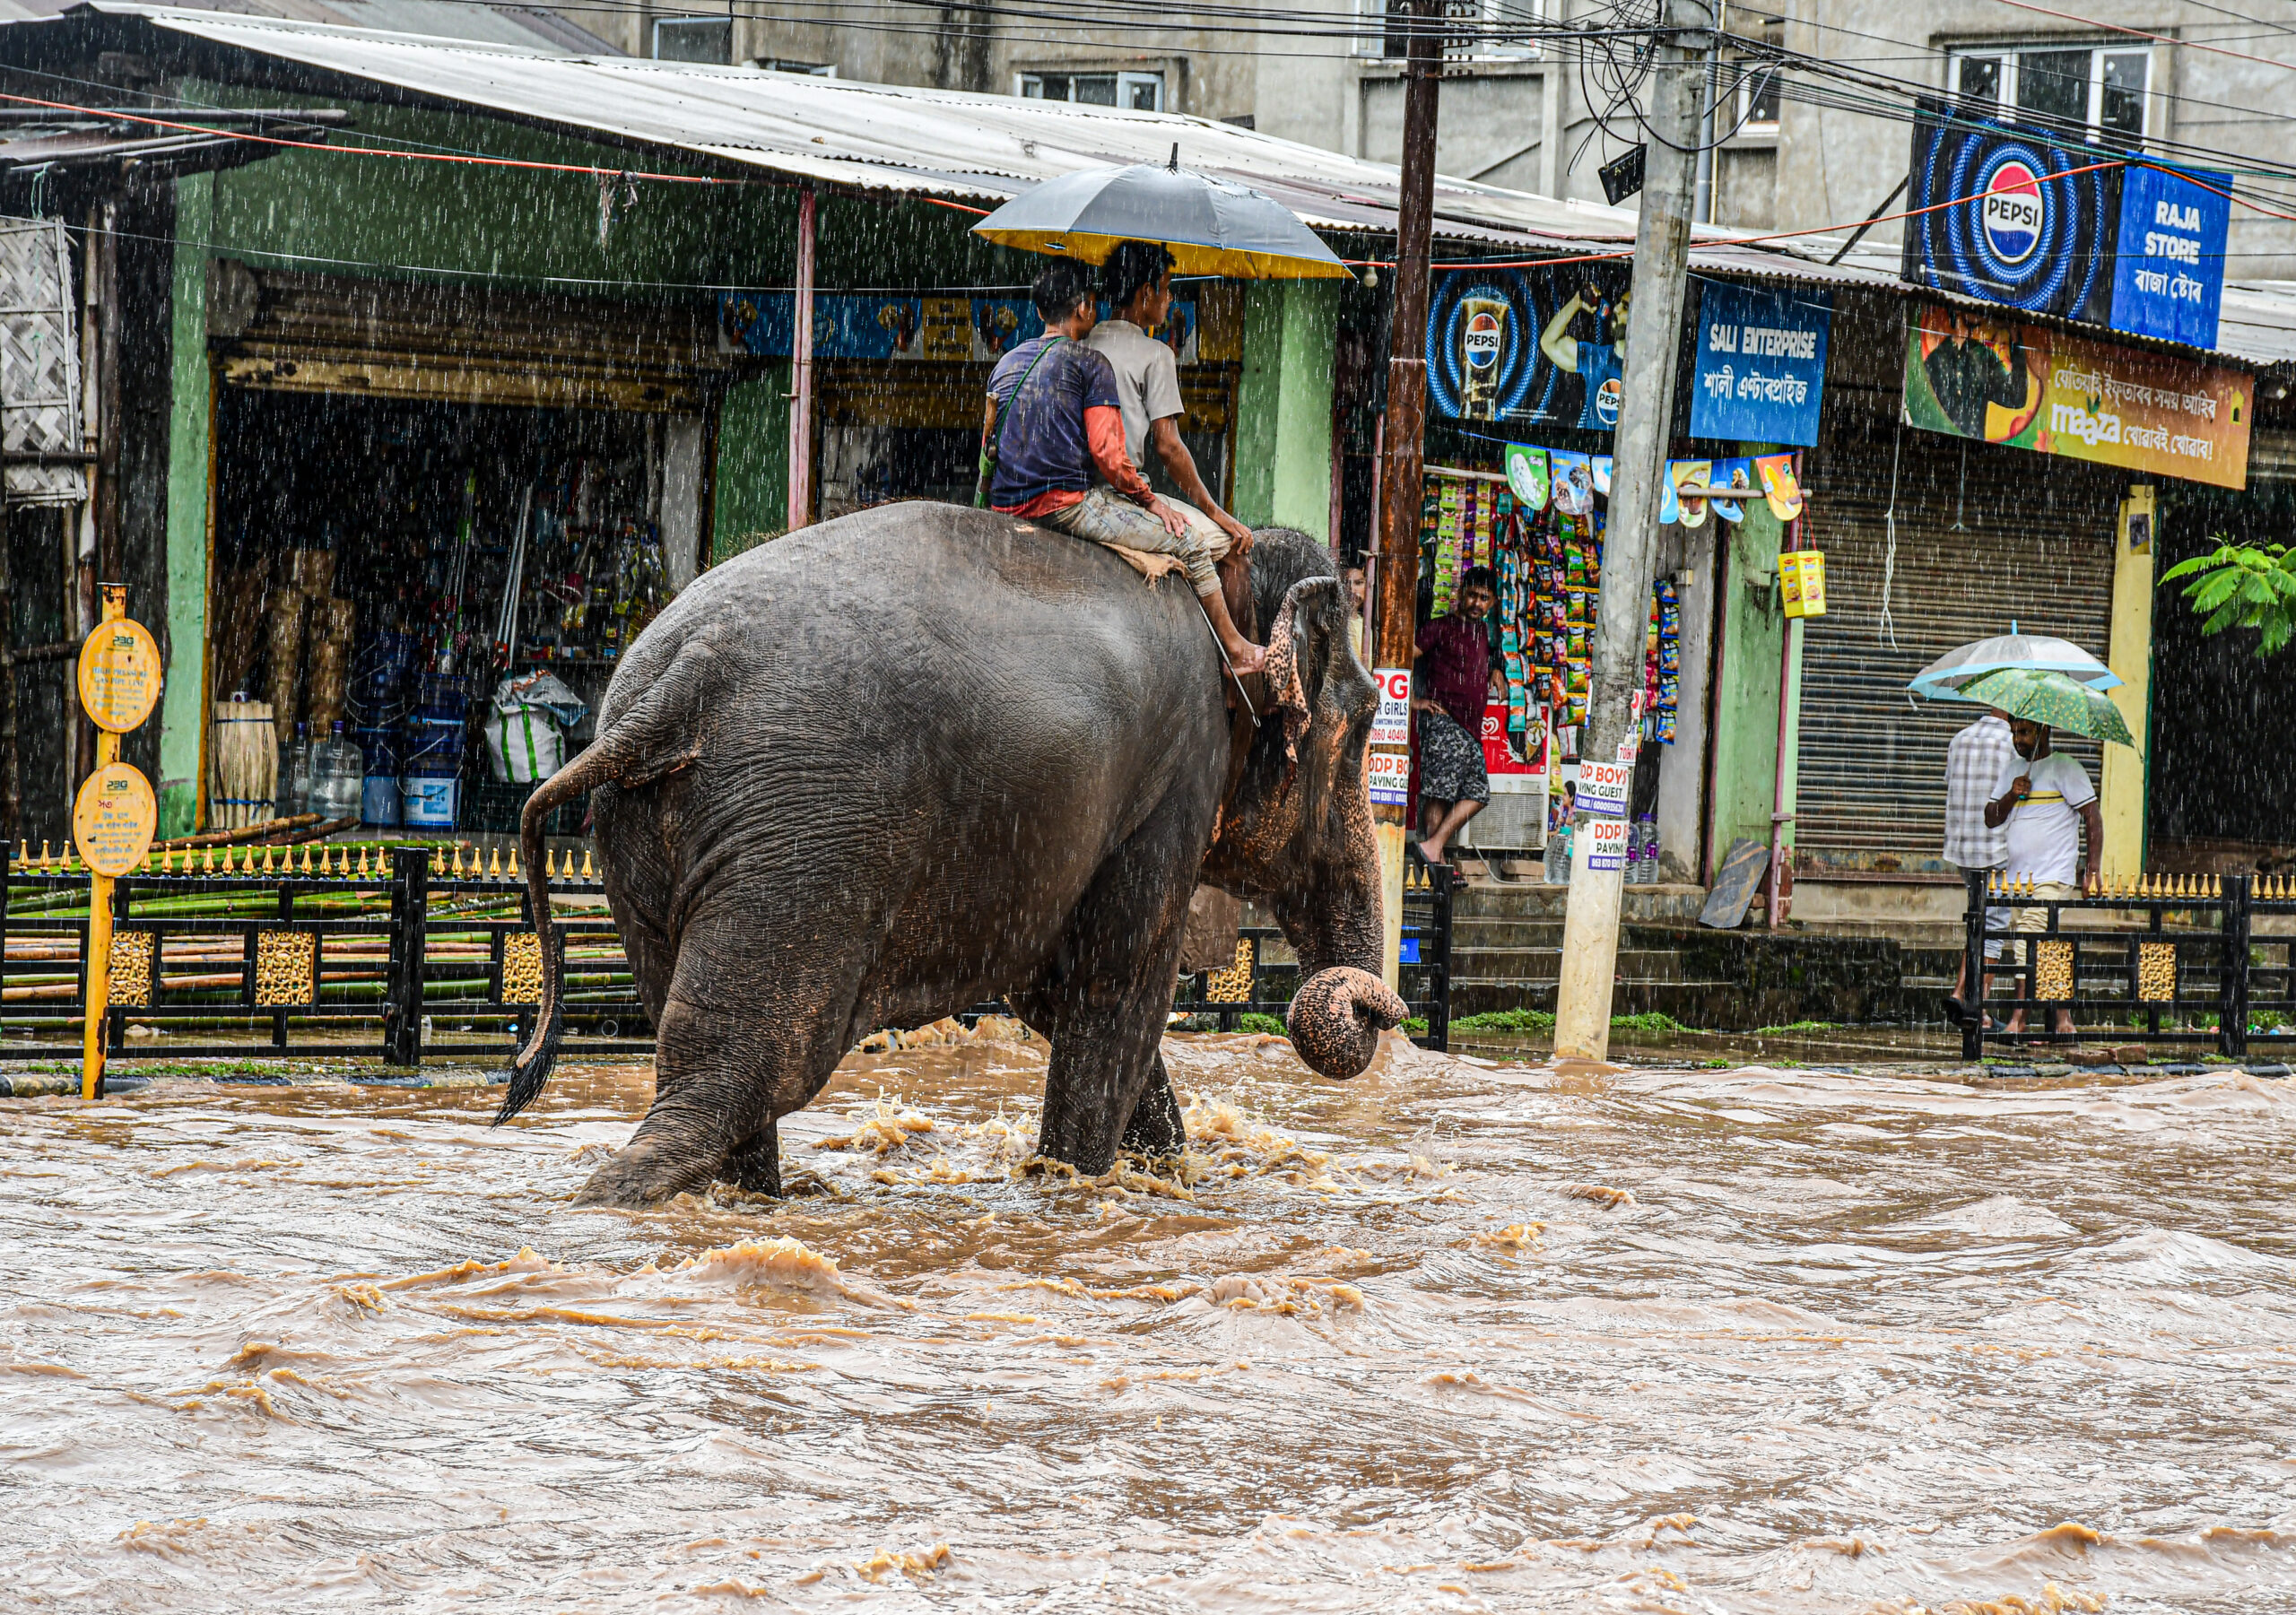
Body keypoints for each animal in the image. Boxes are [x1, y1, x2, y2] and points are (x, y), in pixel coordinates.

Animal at [499, 504, 1404, 1206]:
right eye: (1365, 721)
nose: (1373, 1007)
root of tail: (671, 688)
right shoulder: (1172, 782)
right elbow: (1114, 994)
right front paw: (1076, 1184)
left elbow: (1058, 994)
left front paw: (1155, 1180)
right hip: (806, 846)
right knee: (744, 1074)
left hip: (648, 848)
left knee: (704, 1057)